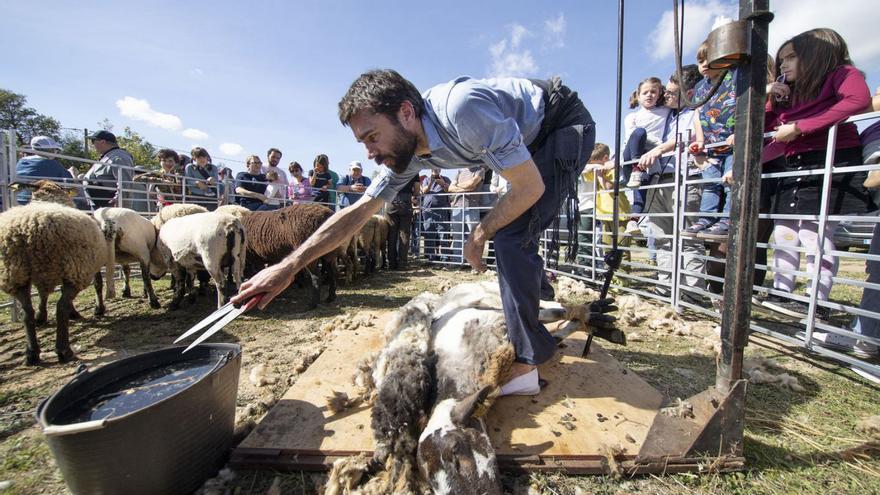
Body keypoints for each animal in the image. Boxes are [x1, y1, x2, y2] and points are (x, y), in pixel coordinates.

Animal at [0, 181, 106, 364]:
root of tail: (31, 229)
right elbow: (97, 284)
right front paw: (95, 310)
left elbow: (44, 294)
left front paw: (42, 316)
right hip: (73, 269)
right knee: (60, 307)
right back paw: (63, 350)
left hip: (16, 273)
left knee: (27, 311)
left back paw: (32, 353)